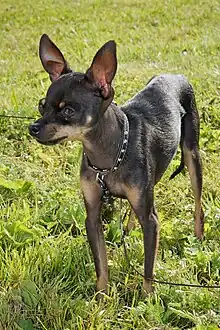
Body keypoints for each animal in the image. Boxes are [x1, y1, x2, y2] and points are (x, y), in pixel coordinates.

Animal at [29, 34, 205, 296]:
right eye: (42, 105)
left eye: (68, 111)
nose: (32, 128)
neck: (107, 159)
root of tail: (176, 75)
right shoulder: (93, 216)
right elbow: (101, 264)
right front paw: (101, 298)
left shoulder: (151, 222)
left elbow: (148, 268)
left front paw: (146, 298)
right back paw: (130, 228)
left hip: (192, 155)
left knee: (197, 203)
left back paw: (199, 236)